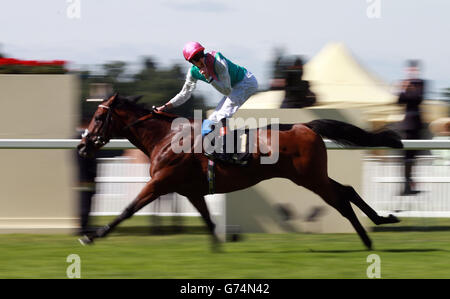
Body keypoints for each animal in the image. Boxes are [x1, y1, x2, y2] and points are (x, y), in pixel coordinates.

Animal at [77, 94, 400, 251]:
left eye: (98, 117)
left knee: (341, 200)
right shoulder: (191, 190)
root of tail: (305, 126)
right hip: (315, 175)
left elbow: (127, 209)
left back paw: (368, 239)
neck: (167, 137)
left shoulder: (160, 182)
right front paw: (218, 247)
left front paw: (92, 236)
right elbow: (208, 219)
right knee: (347, 190)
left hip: (310, 179)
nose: (82, 146)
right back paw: (383, 220)